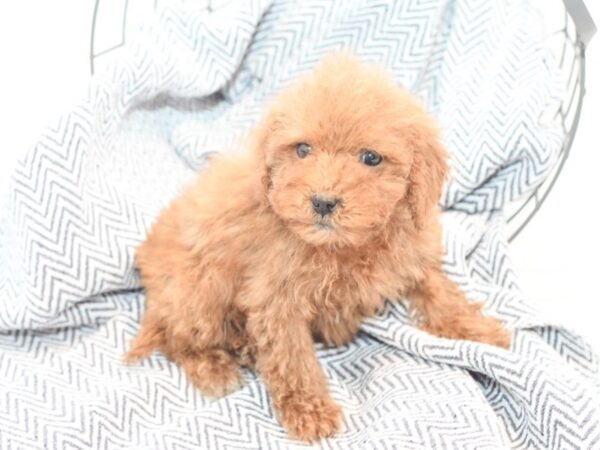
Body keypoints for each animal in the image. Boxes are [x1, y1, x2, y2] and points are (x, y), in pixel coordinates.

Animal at [126, 54, 510, 442]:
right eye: (302, 149)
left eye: (371, 158)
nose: (323, 202)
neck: (343, 246)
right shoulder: (276, 301)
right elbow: (292, 358)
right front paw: (308, 410)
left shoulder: (410, 251)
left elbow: (439, 289)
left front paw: (477, 329)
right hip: (200, 287)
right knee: (177, 338)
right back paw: (213, 368)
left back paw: (243, 345)